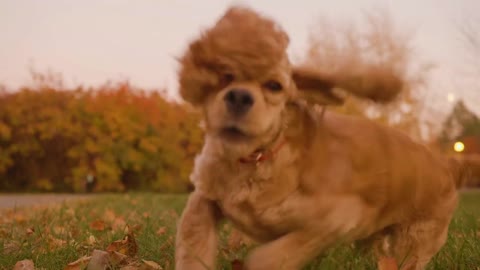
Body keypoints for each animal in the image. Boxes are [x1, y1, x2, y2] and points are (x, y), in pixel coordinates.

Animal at [175, 6, 462, 270]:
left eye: (274, 86)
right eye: (225, 75)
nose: (239, 97)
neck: (257, 159)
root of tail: (445, 167)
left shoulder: (337, 219)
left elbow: (279, 254)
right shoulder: (204, 198)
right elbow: (193, 242)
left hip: (413, 242)